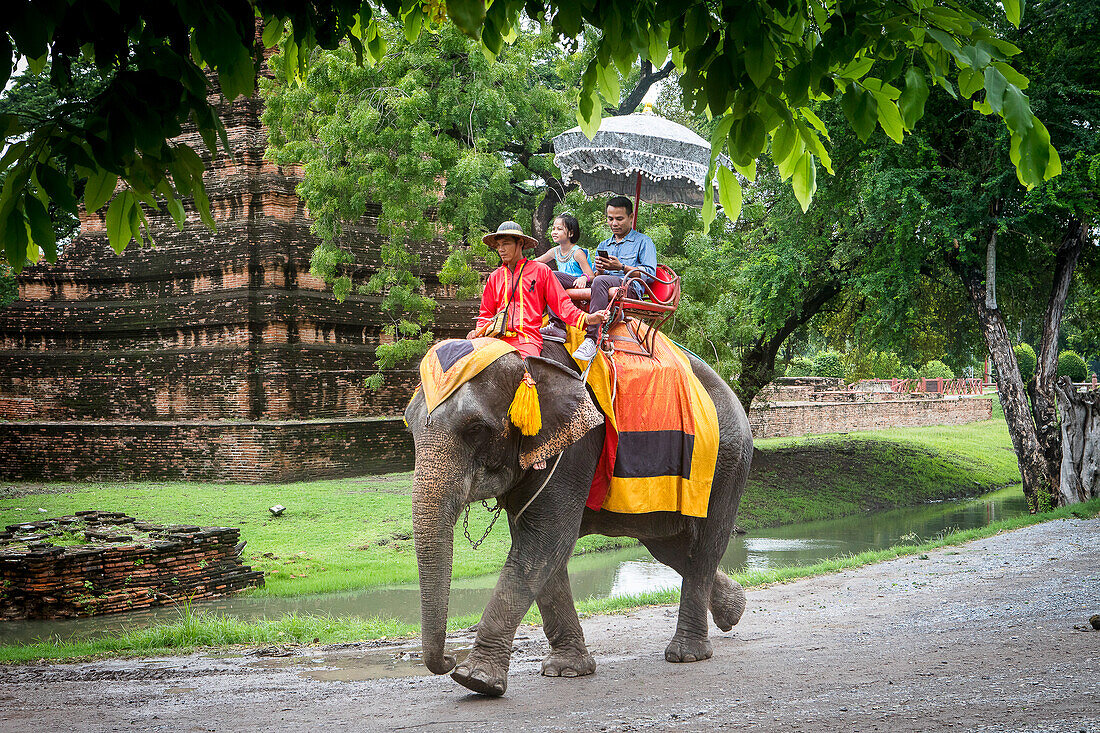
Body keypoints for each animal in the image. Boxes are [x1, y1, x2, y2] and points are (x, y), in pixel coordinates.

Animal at [407, 338, 756, 695]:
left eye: (475, 429)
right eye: (409, 426)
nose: (448, 659)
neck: (527, 360)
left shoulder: (575, 449)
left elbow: (544, 542)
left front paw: (476, 680)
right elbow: (544, 551)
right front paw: (566, 671)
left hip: (725, 459)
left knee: (706, 543)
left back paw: (687, 654)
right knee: (669, 547)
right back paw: (734, 609)